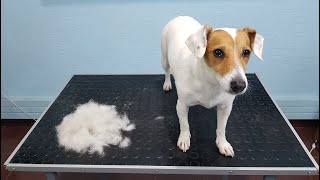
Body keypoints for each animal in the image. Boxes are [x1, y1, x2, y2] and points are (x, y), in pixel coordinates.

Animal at [161, 16, 264, 157]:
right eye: (218, 52)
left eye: (246, 52)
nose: (239, 85)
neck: (211, 82)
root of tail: (180, 16)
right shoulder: (181, 105)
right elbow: (184, 125)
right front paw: (184, 139)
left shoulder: (225, 107)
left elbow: (221, 128)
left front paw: (223, 144)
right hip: (164, 59)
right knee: (167, 71)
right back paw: (167, 83)